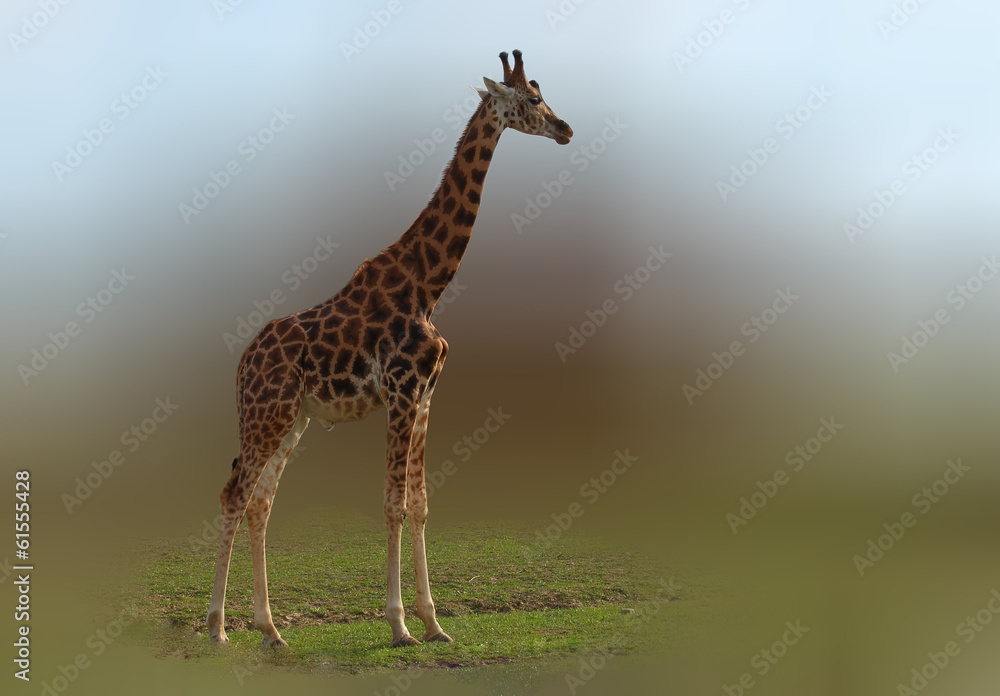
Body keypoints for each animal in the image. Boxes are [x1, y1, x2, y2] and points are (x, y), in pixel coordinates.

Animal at [206, 50, 573, 648]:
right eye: (532, 100)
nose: (566, 128)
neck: (427, 284)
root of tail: (241, 364)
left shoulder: (424, 396)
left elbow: (420, 505)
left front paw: (434, 623)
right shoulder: (400, 393)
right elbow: (393, 504)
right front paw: (400, 625)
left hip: (292, 419)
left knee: (260, 502)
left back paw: (270, 629)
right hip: (266, 414)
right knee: (235, 493)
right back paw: (216, 628)